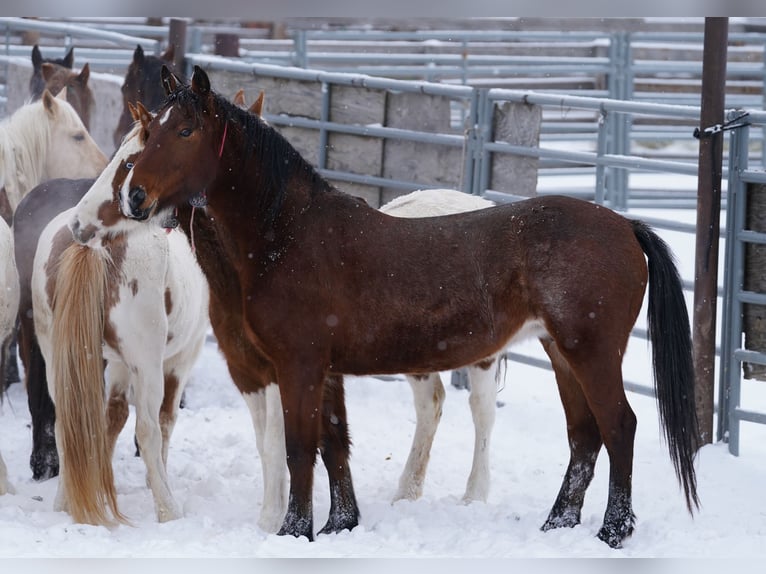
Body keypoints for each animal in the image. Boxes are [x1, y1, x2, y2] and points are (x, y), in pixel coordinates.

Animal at [30, 121, 210, 528]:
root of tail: (90, 244)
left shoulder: (115, 362)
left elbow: (111, 417)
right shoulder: (179, 360)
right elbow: (162, 421)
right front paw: (156, 481)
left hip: (59, 357)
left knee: (67, 423)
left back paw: (65, 500)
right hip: (148, 363)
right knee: (147, 427)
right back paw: (167, 510)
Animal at [79, 65, 704, 552]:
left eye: (184, 131)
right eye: (148, 133)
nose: (135, 198)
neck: (290, 235)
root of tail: (624, 225)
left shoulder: (299, 366)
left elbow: (299, 448)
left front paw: (293, 532)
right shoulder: (323, 370)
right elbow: (333, 445)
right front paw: (339, 526)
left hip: (590, 352)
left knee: (618, 427)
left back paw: (613, 533)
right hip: (561, 351)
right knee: (584, 436)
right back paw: (558, 526)